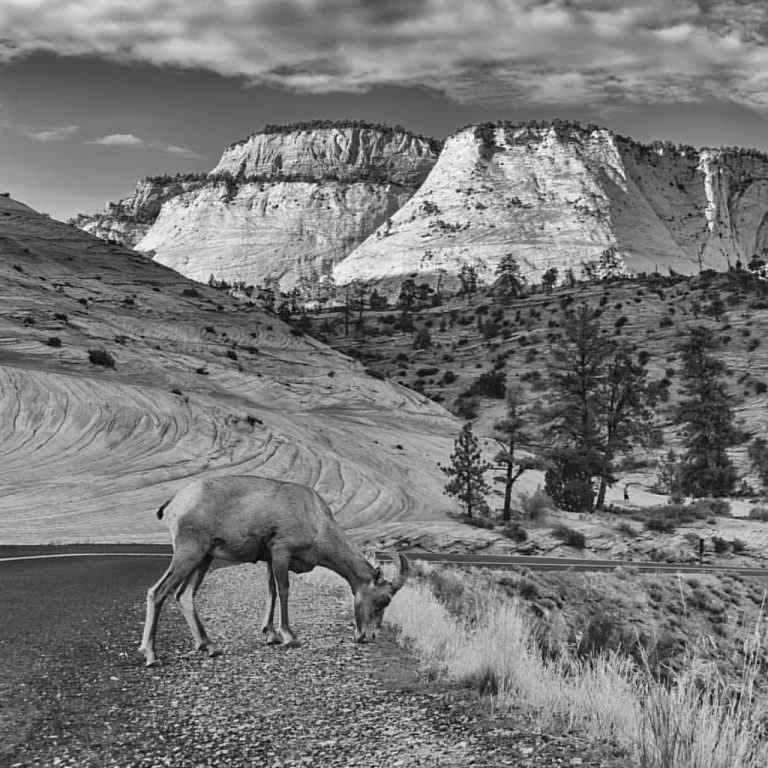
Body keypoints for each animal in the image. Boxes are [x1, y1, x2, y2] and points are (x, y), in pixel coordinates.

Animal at [141, 474, 412, 664]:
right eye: (383, 601)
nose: (368, 637)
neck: (314, 515)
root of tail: (176, 502)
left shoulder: (270, 559)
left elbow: (270, 591)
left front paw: (270, 635)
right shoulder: (281, 552)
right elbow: (283, 590)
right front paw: (289, 637)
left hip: (203, 559)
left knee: (184, 595)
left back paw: (210, 646)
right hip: (189, 554)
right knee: (158, 592)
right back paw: (152, 656)